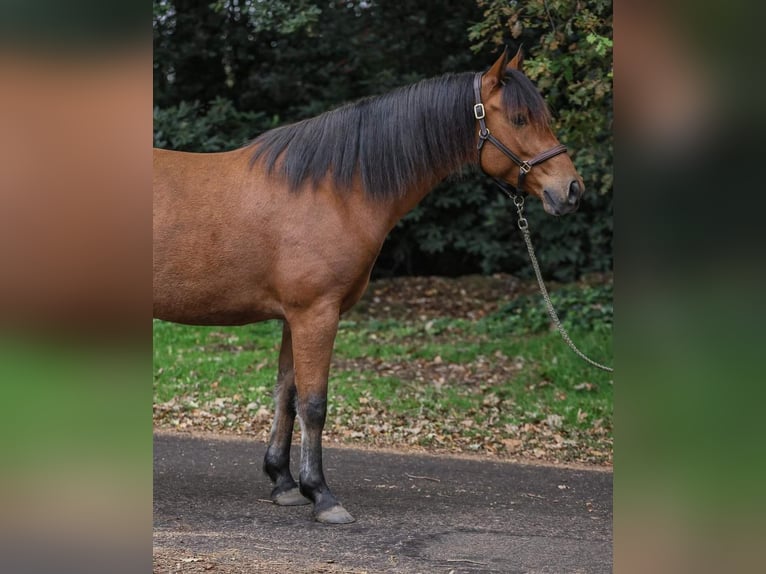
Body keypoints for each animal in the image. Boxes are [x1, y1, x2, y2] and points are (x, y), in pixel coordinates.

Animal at [153, 48, 584, 528]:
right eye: (520, 118)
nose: (571, 190)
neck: (331, 190)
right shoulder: (316, 314)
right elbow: (314, 404)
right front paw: (321, 494)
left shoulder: (292, 318)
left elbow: (286, 394)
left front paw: (283, 484)